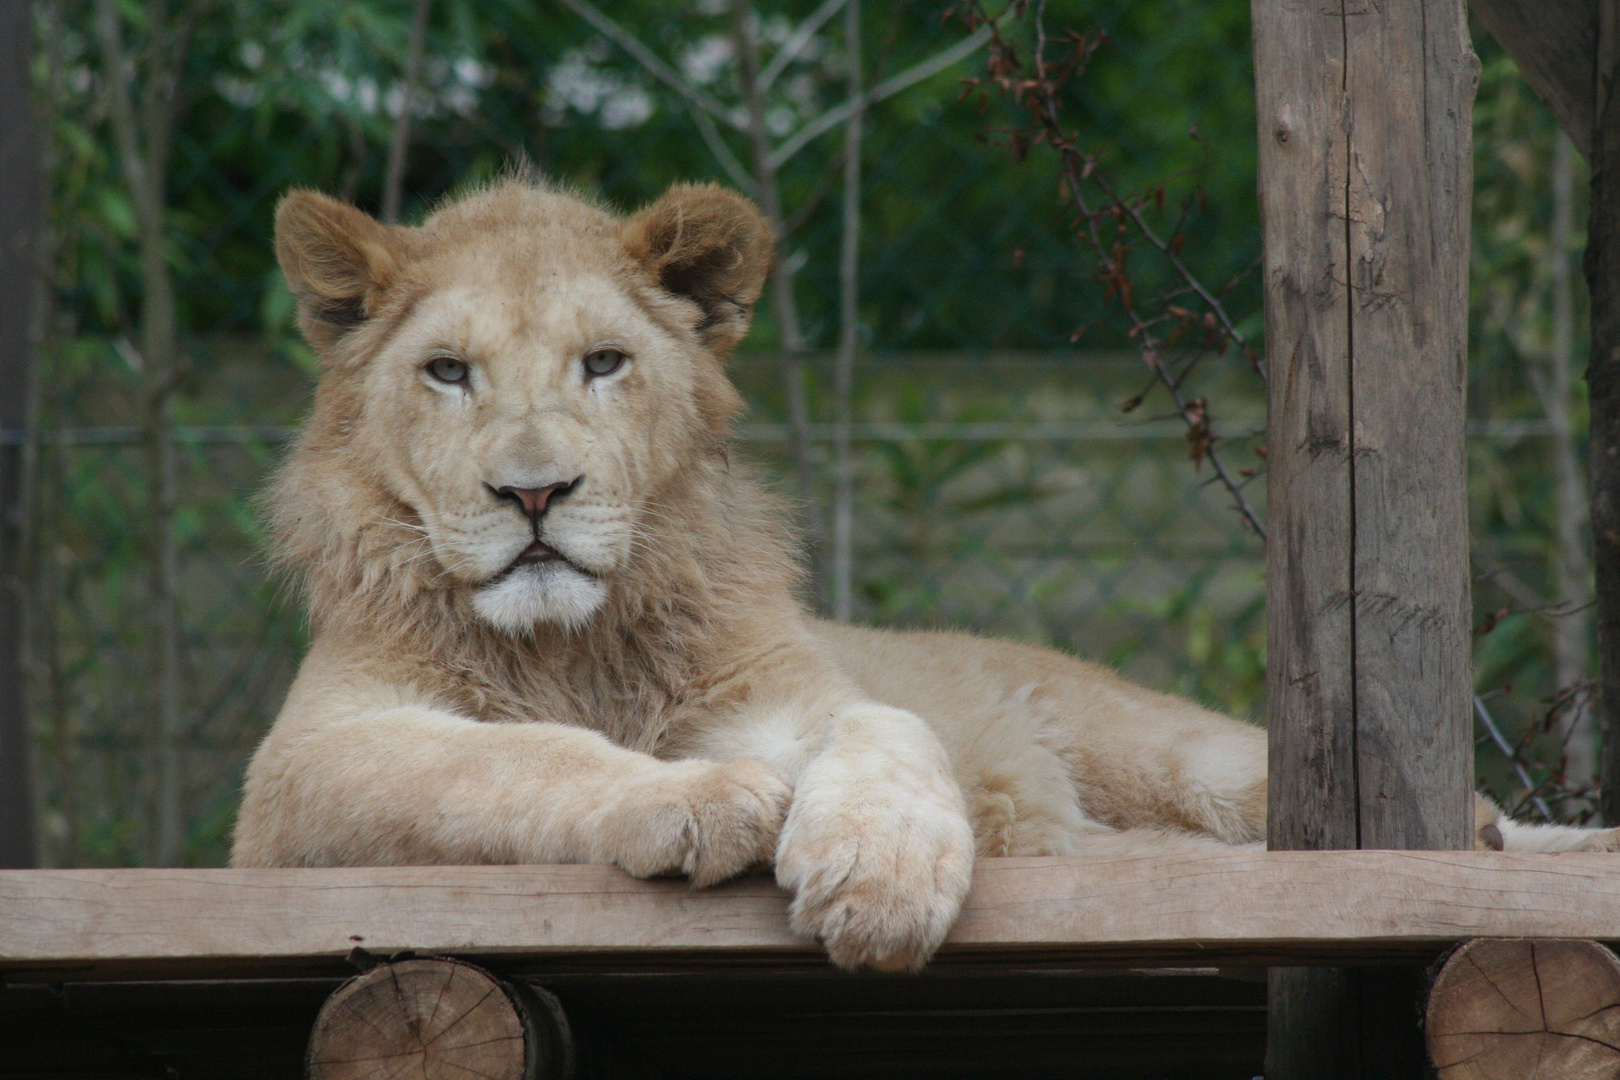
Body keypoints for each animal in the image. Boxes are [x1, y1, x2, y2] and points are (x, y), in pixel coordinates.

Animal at [234, 177, 1613, 971]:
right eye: (448, 373)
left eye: (604, 364)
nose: (533, 495)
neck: (580, 639)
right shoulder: (300, 775)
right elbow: (512, 757)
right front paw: (699, 798)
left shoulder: (792, 690)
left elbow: (884, 721)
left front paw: (883, 868)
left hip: (1186, 758)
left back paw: (1496, 835)